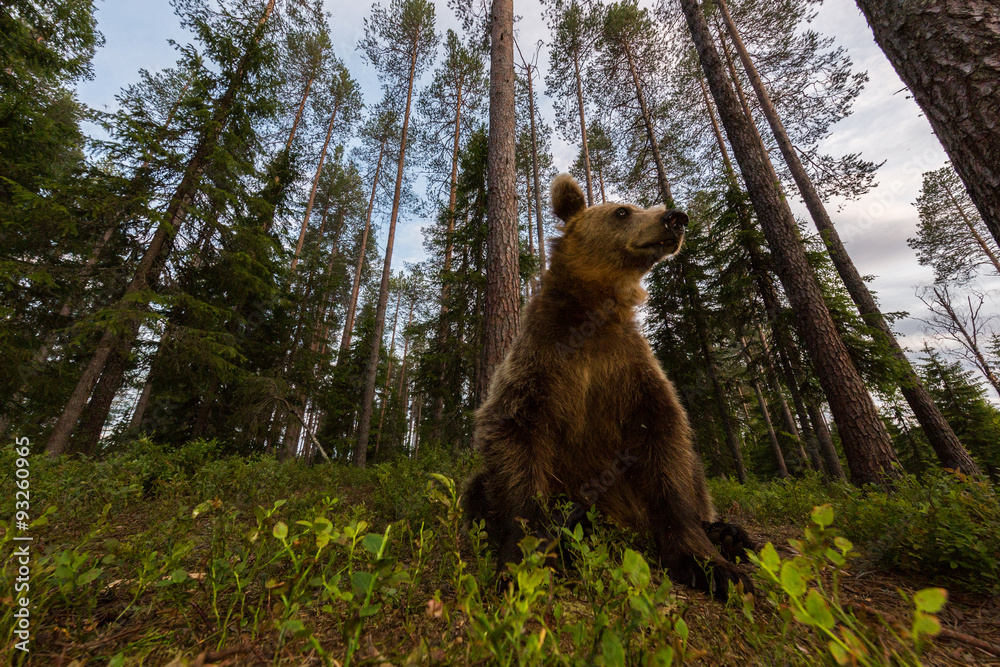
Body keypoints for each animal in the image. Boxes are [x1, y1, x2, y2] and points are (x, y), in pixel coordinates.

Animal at [461, 174, 754, 600]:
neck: (595, 309)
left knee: (696, 478)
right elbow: (516, 443)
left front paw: (712, 567)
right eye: (622, 211)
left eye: (633, 206)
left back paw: (727, 534)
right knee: (477, 490)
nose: (675, 218)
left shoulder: (630, 370)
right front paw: (523, 563)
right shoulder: (540, 364)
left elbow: (666, 447)